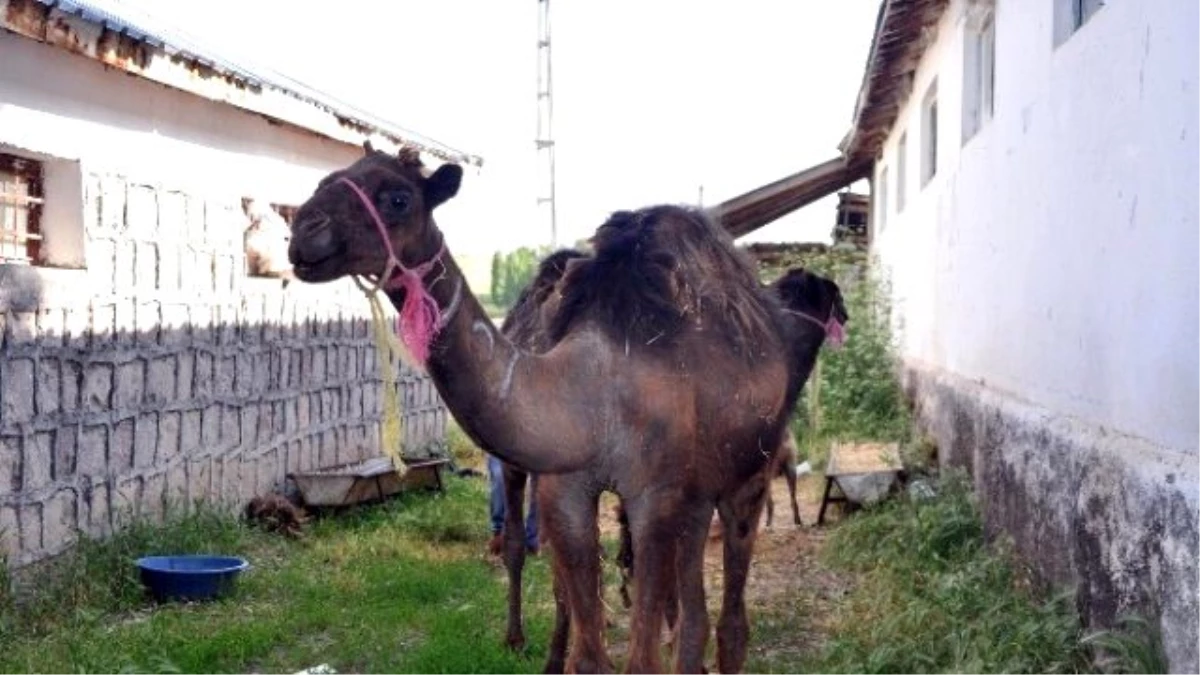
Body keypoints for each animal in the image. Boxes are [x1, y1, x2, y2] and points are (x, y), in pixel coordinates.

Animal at [285, 147, 801, 672]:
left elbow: (640, 658)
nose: (303, 230)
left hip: (750, 471)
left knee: (732, 614)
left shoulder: (654, 496)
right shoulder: (568, 492)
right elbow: (588, 653)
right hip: (697, 494)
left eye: (397, 198)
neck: (595, 394)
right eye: (325, 181)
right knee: (695, 617)